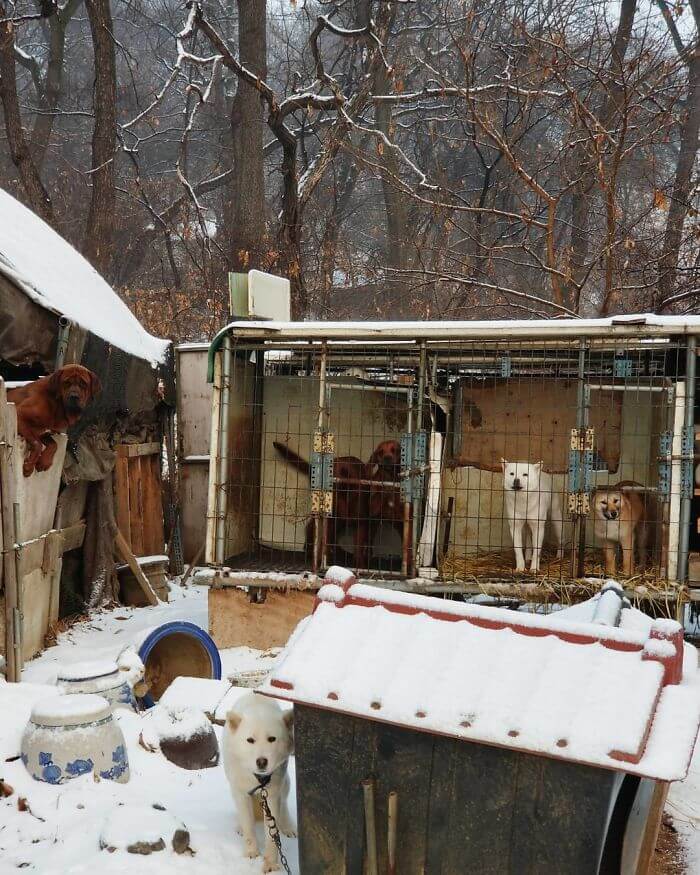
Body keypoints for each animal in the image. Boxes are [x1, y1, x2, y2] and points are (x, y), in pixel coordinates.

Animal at [224, 696, 296, 872]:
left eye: (272, 739)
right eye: (250, 740)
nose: (261, 761)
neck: (258, 780)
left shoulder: (272, 794)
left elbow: (272, 834)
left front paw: (271, 864)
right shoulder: (241, 792)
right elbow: (249, 827)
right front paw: (251, 853)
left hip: (285, 783)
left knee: (284, 805)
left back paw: (288, 827)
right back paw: (240, 827)